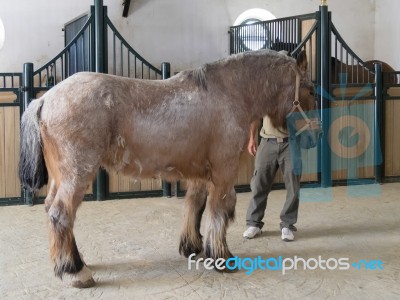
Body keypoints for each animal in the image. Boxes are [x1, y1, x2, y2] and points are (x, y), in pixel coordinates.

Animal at [18, 49, 318, 288]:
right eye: (312, 90)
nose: (313, 137)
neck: (229, 93)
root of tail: (44, 100)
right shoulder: (223, 172)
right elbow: (219, 212)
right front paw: (222, 258)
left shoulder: (201, 174)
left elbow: (195, 206)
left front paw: (193, 248)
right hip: (77, 175)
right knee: (61, 215)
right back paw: (76, 273)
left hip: (60, 177)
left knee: (53, 211)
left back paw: (74, 263)